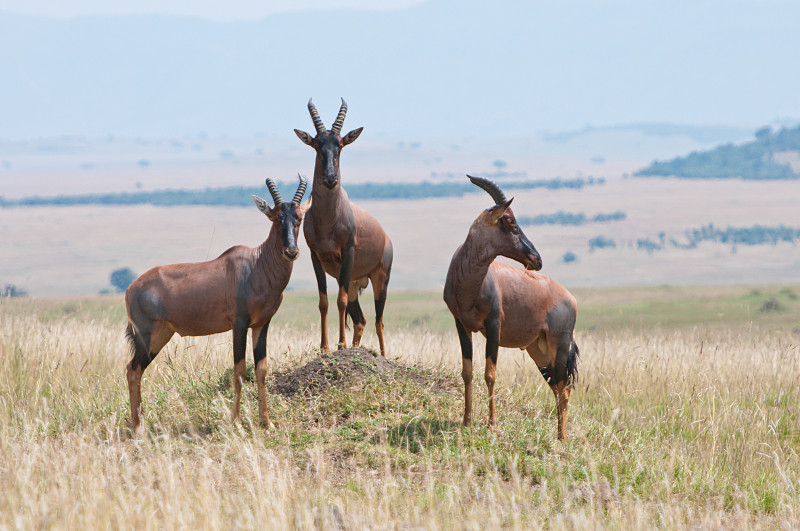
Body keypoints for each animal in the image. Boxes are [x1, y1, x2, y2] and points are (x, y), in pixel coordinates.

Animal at [123, 177, 308, 430]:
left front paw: (266, 422)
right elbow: (239, 370)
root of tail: (130, 288)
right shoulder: (239, 323)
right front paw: (236, 422)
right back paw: (136, 426)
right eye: (276, 217)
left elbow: (261, 369)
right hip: (147, 335)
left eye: (298, 218)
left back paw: (140, 421)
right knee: (132, 370)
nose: (291, 251)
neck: (257, 264)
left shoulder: (262, 324)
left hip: (162, 335)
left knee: (137, 369)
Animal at [294, 100, 394, 358]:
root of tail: (386, 238)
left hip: (380, 278)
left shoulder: (347, 253)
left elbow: (339, 299)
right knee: (361, 320)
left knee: (379, 320)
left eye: (340, 144)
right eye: (317, 144)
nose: (330, 179)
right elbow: (324, 301)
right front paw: (325, 346)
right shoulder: (315, 256)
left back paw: (382, 355)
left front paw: (341, 344)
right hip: (354, 281)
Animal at [440, 177, 580, 438]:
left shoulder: (494, 326)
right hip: (539, 351)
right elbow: (467, 372)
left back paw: (562, 438)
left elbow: (490, 374)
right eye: (511, 223)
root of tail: (570, 298)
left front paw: (492, 424)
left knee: (564, 389)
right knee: (557, 388)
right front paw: (467, 421)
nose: (537, 259)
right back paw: (558, 435)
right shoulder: (461, 325)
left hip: (560, 344)